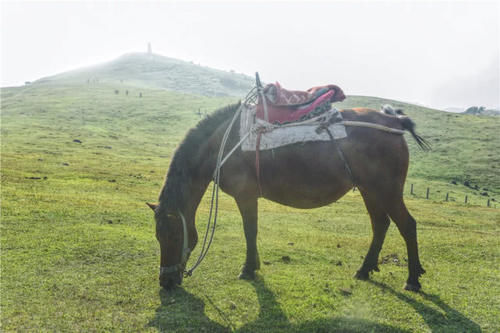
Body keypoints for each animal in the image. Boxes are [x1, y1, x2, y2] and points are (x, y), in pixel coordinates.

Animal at [146, 101, 428, 290]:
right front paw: (253, 265)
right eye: (157, 236)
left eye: (173, 235)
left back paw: (412, 279)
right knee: (380, 225)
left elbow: (250, 230)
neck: (223, 144)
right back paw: (365, 269)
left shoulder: (245, 196)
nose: (166, 281)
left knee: (407, 225)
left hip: (387, 190)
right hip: (370, 190)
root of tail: (393, 122)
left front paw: (248, 269)